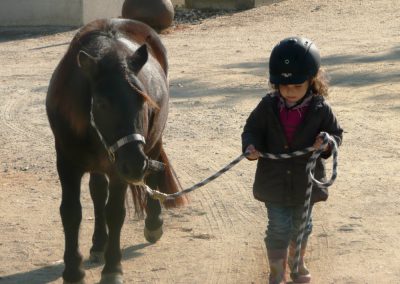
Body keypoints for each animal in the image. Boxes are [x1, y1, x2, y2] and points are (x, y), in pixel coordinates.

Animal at [46, 18, 187, 284]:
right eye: (101, 103)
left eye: (143, 100)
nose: (135, 164)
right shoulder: (67, 163)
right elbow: (70, 212)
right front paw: (73, 271)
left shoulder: (118, 170)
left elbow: (115, 213)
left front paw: (112, 268)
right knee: (98, 192)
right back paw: (98, 244)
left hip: (151, 145)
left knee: (151, 173)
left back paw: (153, 223)